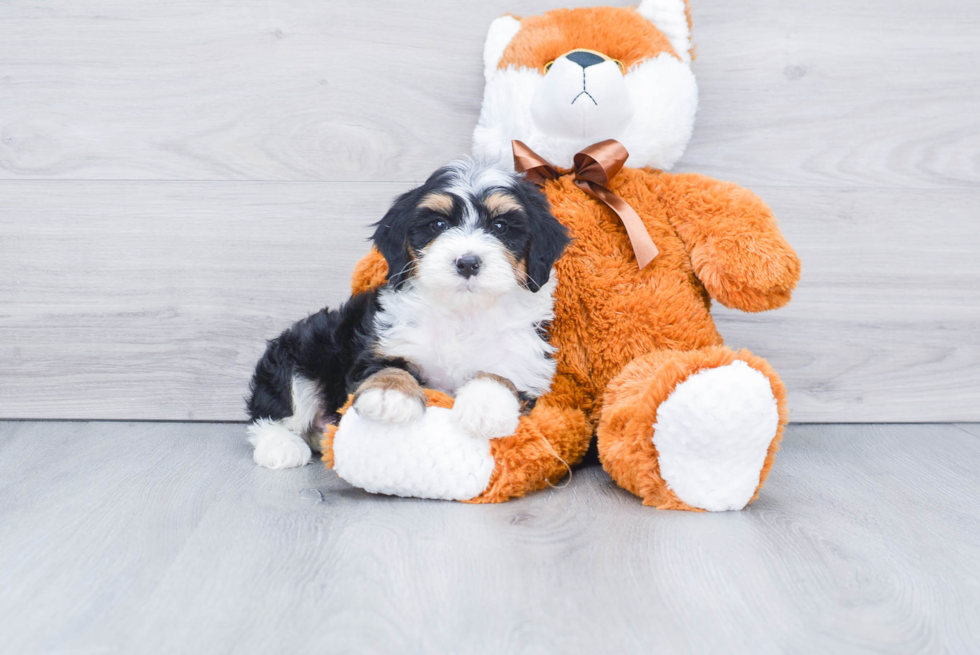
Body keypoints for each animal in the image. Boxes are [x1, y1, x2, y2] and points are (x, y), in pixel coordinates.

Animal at [243, 158, 568, 468]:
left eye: (500, 227)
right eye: (438, 224)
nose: (467, 262)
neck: (462, 312)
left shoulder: (525, 355)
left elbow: (503, 374)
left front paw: (485, 406)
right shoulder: (383, 343)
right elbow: (388, 367)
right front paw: (389, 395)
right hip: (304, 346)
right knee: (275, 408)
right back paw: (280, 446)